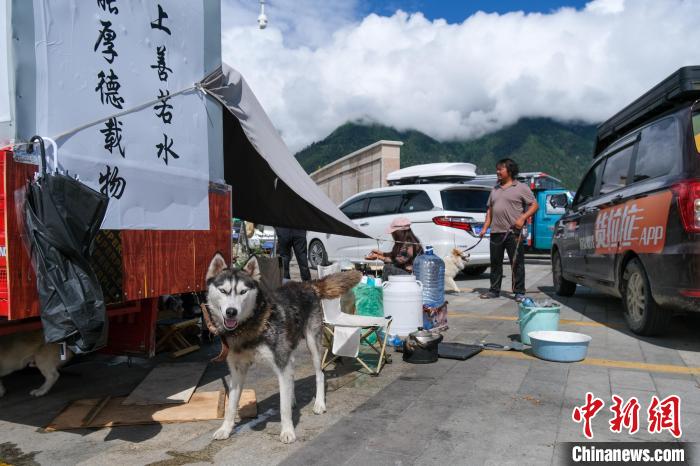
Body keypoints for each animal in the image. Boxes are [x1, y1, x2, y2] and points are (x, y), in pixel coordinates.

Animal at [205, 252, 361, 444]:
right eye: (223, 291)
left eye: (243, 292)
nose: (231, 312)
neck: (252, 324)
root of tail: (306, 284)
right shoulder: (237, 370)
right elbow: (231, 405)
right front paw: (225, 429)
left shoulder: (281, 363)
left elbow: (283, 407)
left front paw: (287, 431)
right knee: (292, 372)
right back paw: (293, 398)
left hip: (312, 344)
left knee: (319, 374)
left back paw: (319, 404)